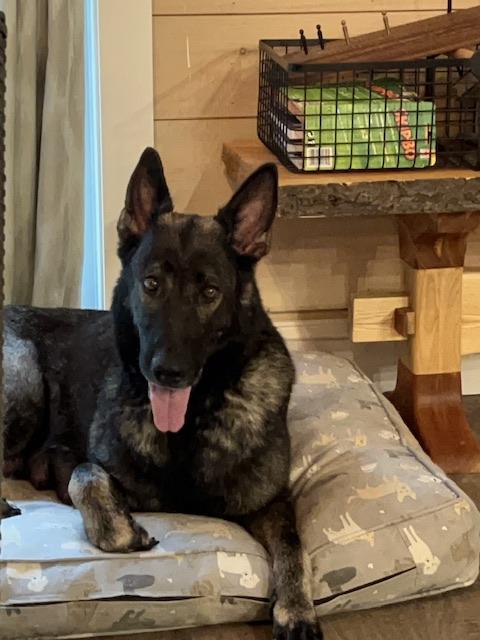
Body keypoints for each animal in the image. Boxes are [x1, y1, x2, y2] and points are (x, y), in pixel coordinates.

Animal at [3, 148, 323, 640]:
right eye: (152, 284)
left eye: (210, 291)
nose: (168, 372)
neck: (191, 423)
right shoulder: (85, 465)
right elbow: (85, 476)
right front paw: (120, 528)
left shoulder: (272, 503)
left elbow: (292, 544)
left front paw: (296, 609)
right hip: (23, 377)